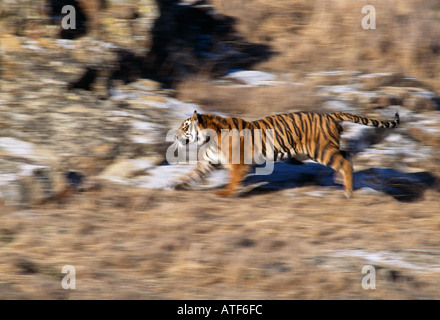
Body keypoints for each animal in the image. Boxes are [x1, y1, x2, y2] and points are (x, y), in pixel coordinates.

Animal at [171, 111, 398, 199]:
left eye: (185, 127)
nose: (175, 135)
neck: (210, 138)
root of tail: (331, 114)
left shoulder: (238, 164)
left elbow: (232, 181)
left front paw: (225, 194)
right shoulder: (209, 161)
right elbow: (192, 174)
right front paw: (175, 185)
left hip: (321, 150)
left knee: (345, 163)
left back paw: (348, 192)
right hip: (329, 148)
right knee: (346, 156)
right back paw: (338, 180)